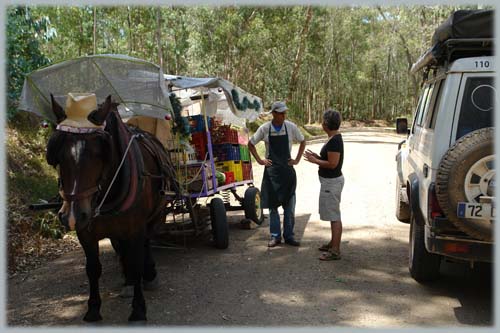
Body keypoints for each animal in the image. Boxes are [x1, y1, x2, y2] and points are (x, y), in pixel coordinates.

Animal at [46, 94, 176, 322]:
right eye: (58, 155)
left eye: (98, 154)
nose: (72, 216)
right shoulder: (86, 232)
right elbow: (92, 268)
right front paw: (93, 308)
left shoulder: (136, 228)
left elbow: (136, 261)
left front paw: (138, 309)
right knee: (122, 248)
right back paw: (128, 282)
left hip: (155, 215)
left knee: (146, 243)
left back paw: (149, 275)